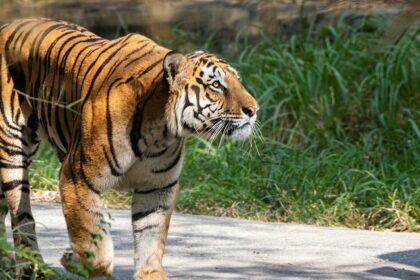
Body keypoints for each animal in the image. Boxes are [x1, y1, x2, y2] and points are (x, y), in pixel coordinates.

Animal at [0, 18, 260, 278]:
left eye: (237, 81)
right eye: (216, 85)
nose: (254, 109)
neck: (160, 132)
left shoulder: (157, 186)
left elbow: (151, 236)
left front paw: (151, 273)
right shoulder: (76, 177)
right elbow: (91, 237)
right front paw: (74, 260)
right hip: (12, 152)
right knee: (21, 214)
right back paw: (29, 266)